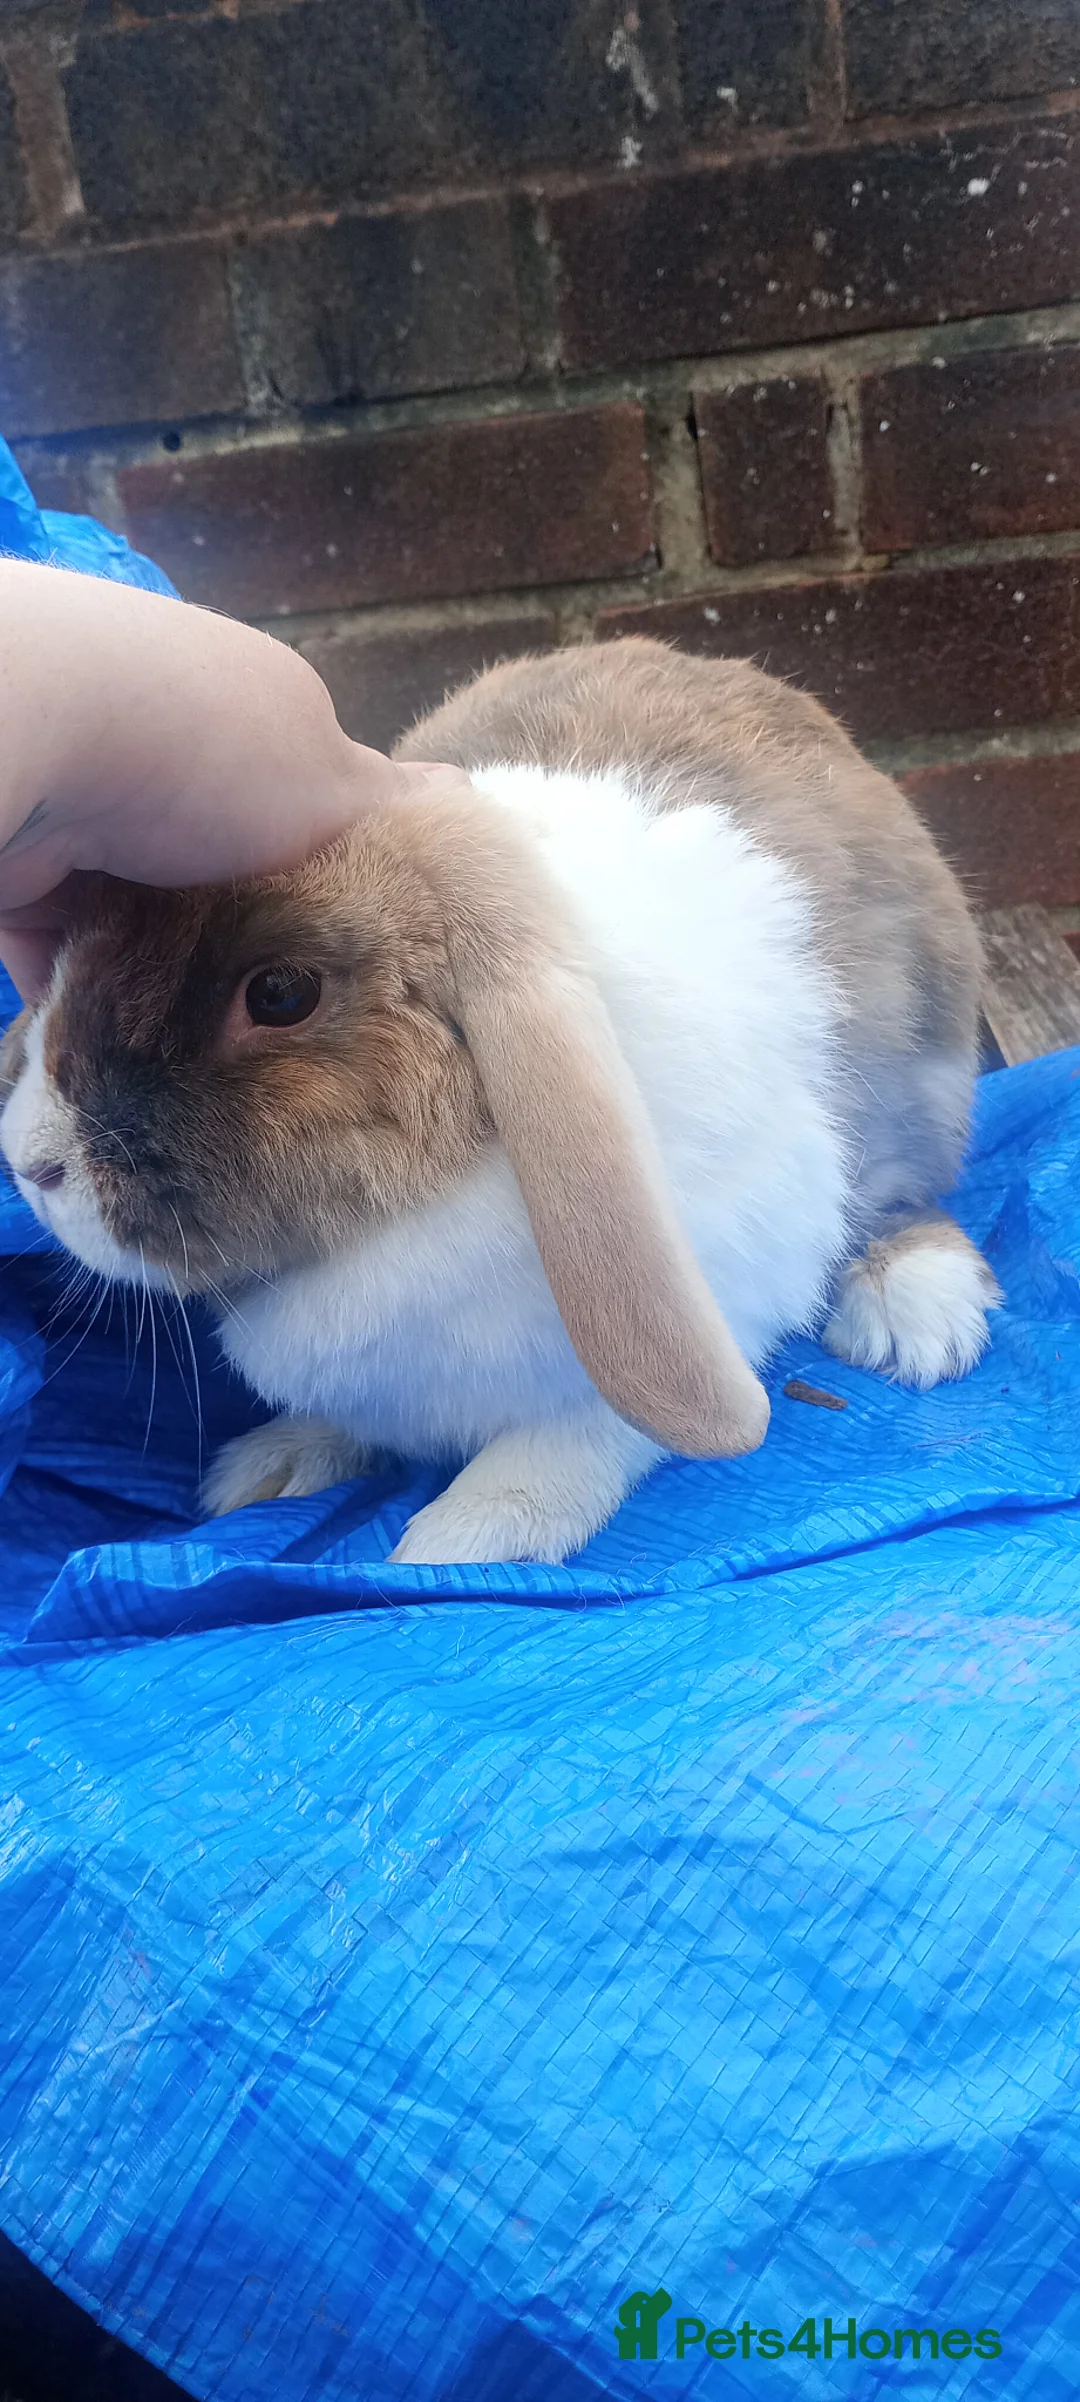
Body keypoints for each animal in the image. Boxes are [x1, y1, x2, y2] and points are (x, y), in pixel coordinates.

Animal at [0, 637, 1000, 1565]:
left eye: (280, 993)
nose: (31, 1164)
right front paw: (272, 1466)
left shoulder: (713, 1298)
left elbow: (577, 1437)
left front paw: (462, 1540)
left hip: (927, 1078)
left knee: (908, 1196)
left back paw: (916, 1312)